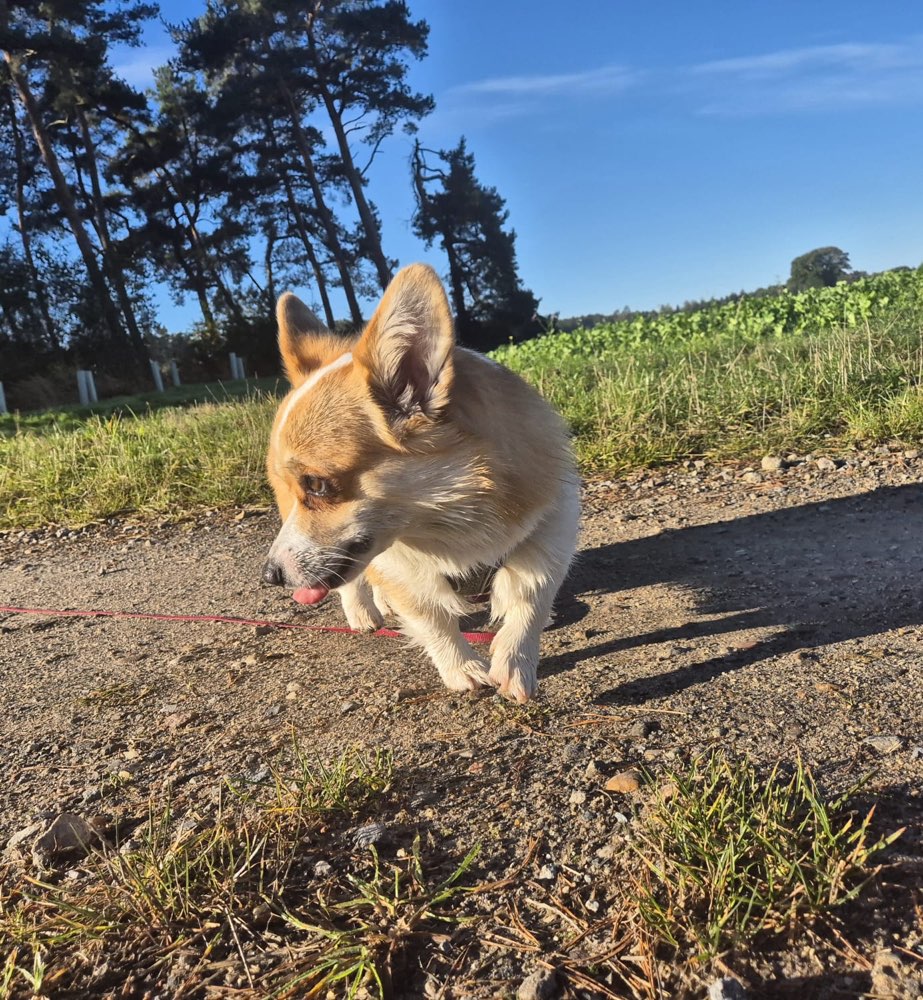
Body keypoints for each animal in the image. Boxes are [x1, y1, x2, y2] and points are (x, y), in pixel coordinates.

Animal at [260, 266, 576, 704]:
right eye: (301, 486)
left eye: (317, 485)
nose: (269, 575)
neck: (453, 524)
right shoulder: (401, 569)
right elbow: (432, 619)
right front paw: (462, 668)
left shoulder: (548, 537)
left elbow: (529, 603)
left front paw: (516, 662)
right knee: (351, 581)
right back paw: (362, 611)